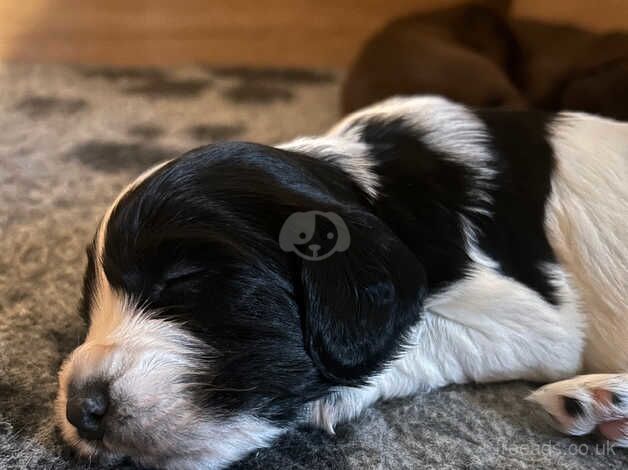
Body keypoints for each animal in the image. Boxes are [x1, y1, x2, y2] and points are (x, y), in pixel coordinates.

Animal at [56, 96, 624, 470]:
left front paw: (333, 397)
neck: (371, 188)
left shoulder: (532, 318)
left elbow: (423, 331)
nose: (80, 411)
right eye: (88, 310)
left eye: (183, 279)